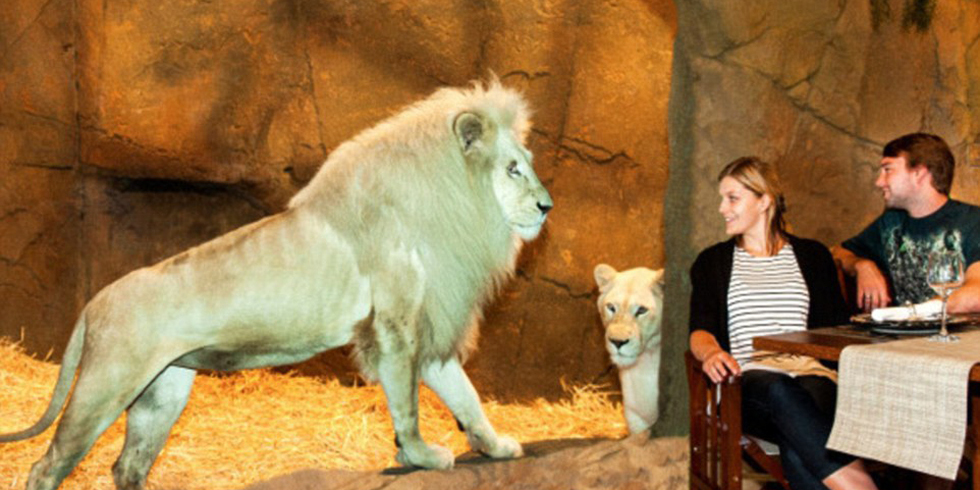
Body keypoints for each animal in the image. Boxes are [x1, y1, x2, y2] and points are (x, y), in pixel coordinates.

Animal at [0, 81, 552, 490]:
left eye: (527, 164)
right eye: (513, 169)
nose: (547, 206)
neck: (455, 202)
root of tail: (94, 301)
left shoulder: (428, 327)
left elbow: (466, 397)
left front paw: (496, 446)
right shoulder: (395, 326)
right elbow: (407, 404)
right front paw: (421, 456)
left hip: (163, 392)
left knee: (127, 467)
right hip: (106, 383)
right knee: (46, 465)